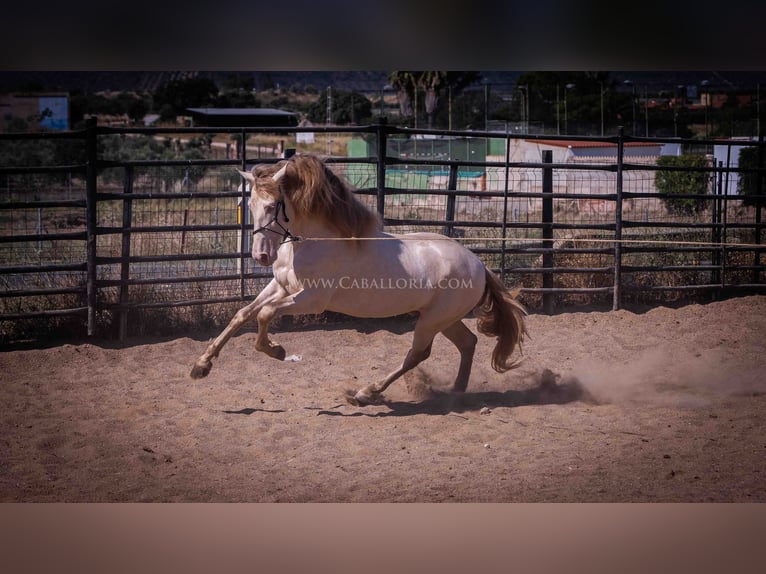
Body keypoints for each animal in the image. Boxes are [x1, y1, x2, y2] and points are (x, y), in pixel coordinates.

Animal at [191, 153, 528, 404]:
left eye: (273, 206)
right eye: (249, 205)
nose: (261, 256)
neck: (313, 242)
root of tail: (479, 265)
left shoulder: (311, 299)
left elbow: (265, 314)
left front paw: (277, 350)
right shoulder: (281, 286)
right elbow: (242, 314)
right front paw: (201, 366)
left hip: (433, 320)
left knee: (418, 354)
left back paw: (366, 393)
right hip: (444, 319)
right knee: (468, 343)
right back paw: (456, 392)